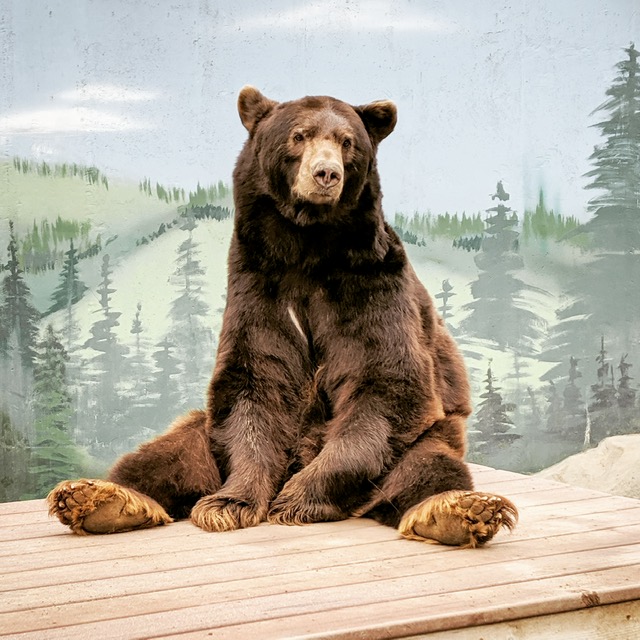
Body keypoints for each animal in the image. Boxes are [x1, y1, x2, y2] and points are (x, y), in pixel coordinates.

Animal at [48, 87, 517, 547]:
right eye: (299, 135)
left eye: (347, 141)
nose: (326, 173)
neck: (309, 245)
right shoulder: (258, 285)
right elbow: (255, 381)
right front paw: (229, 504)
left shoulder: (371, 284)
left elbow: (386, 383)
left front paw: (297, 498)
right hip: (202, 432)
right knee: (165, 454)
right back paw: (103, 498)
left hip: (433, 437)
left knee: (429, 469)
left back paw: (455, 511)